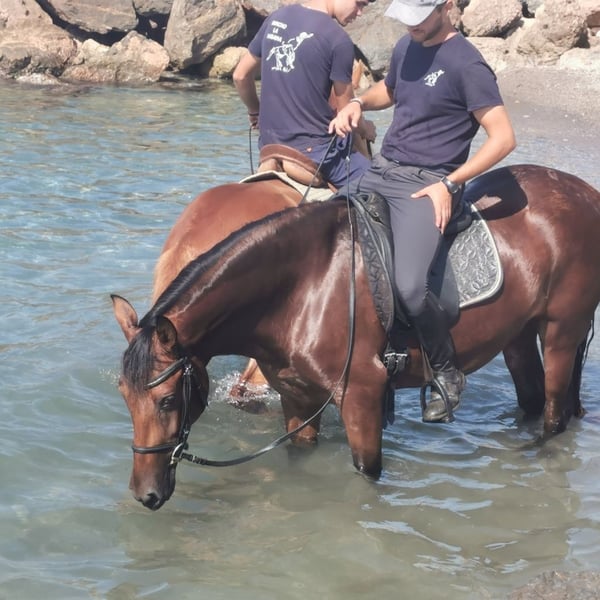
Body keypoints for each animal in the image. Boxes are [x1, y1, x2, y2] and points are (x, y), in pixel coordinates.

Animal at [112, 164, 600, 510]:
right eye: (124, 397)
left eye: (168, 401)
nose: (145, 494)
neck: (304, 287)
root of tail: (585, 194)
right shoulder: (297, 396)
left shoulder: (362, 396)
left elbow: (366, 476)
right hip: (518, 335)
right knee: (533, 401)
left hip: (561, 332)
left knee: (553, 416)